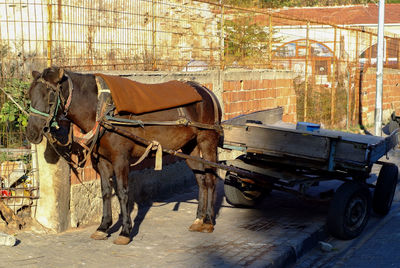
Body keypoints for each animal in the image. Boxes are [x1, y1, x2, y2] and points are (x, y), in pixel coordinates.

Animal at [26, 66, 222, 245]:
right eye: (30, 95)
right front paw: (103, 227)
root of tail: (205, 91)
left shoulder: (121, 160)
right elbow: (106, 191)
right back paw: (199, 219)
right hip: (190, 148)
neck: (101, 108)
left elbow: (122, 192)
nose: (31, 133)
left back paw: (208, 221)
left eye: (50, 97)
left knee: (211, 179)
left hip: (207, 141)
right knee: (201, 179)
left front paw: (125, 231)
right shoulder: (102, 160)